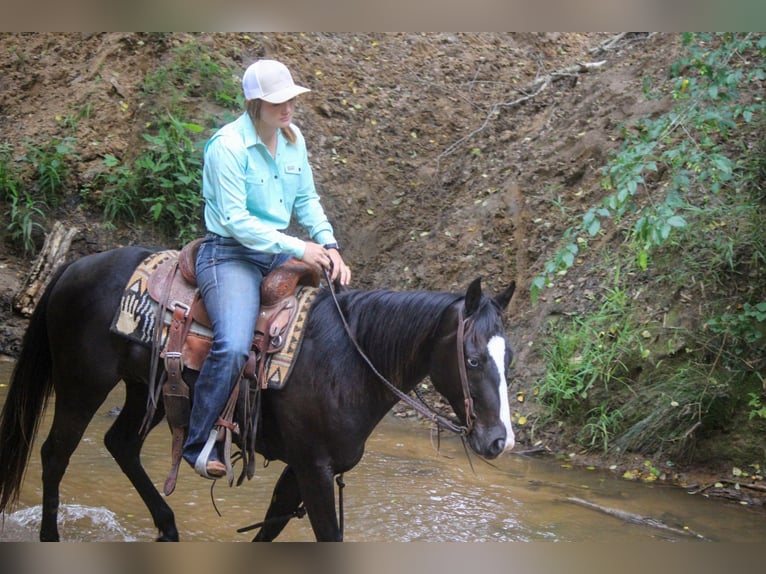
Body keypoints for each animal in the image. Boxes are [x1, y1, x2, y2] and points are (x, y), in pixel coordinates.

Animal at [0, 245, 520, 544]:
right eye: (473, 359)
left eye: (508, 358)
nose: (499, 441)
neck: (348, 363)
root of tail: (76, 264)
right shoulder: (313, 467)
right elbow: (326, 536)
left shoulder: (301, 469)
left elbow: (270, 528)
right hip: (82, 384)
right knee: (55, 453)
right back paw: (51, 537)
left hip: (148, 390)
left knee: (120, 444)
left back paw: (168, 527)